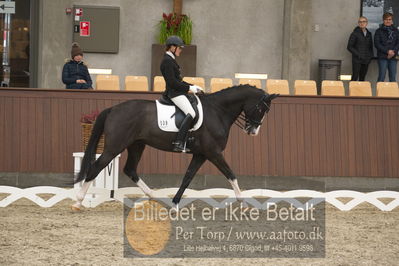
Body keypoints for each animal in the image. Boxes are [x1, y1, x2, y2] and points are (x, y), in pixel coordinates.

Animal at [72, 85, 278, 210]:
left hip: (137, 145)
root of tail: (113, 109)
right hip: (115, 146)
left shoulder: (201, 154)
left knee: (130, 169)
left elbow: (187, 177)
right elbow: (231, 174)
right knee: (96, 167)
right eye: (262, 109)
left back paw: (153, 196)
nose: (253, 131)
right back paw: (78, 201)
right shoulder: (214, 153)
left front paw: (175, 204)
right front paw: (242, 203)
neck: (218, 111)